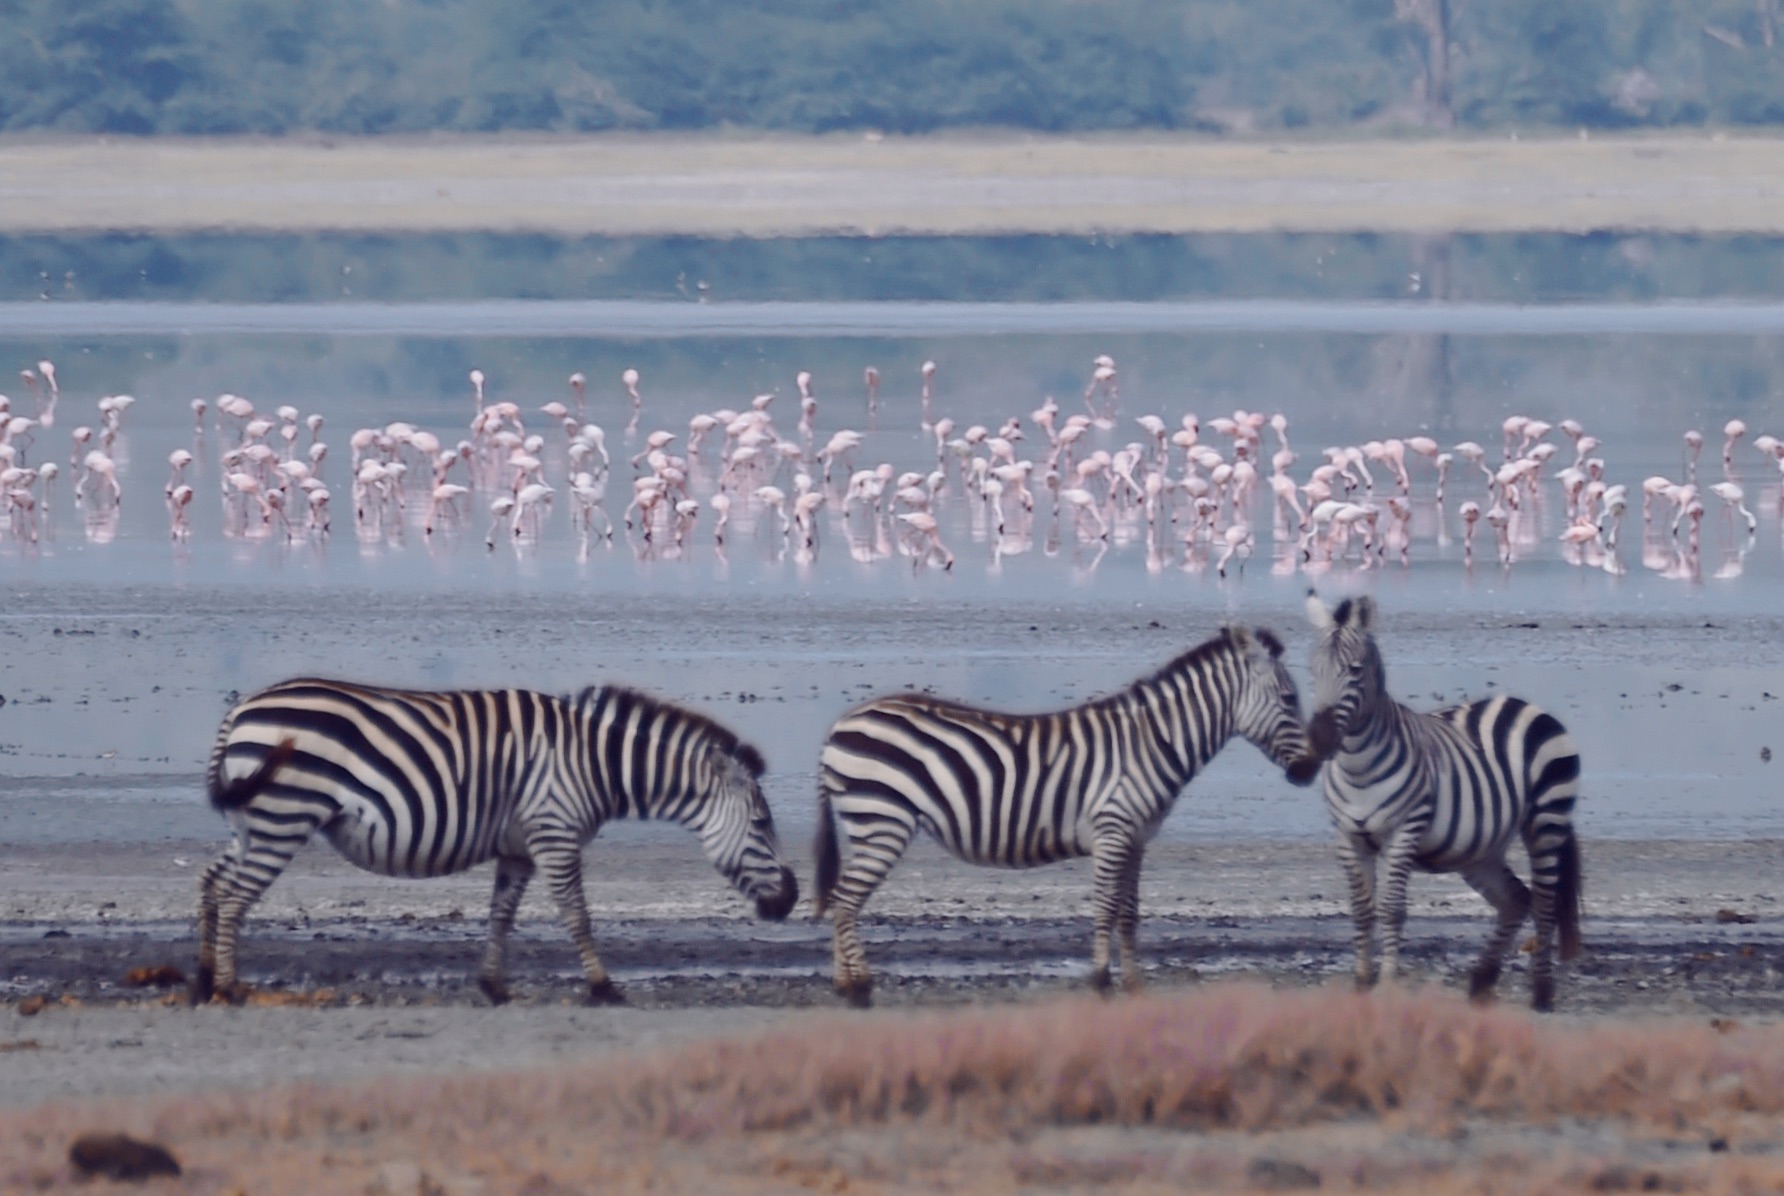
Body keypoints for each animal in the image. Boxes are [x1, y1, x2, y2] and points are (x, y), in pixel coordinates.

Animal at [193, 678, 795, 1006]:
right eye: (763, 823)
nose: (790, 899)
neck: (595, 765)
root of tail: (240, 710)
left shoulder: (519, 847)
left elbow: (501, 915)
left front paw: (493, 986)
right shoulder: (554, 833)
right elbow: (577, 914)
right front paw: (603, 987)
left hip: (252, 821)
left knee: (212, 882)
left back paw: (202, 979)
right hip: (284, 815)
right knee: (236, 897)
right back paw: (230, 987)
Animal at [813, 628, 1313, 1013]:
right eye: (1290, 699)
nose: (1309, 770)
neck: (1152, 742)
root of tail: (839, 725)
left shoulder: (1137, 838)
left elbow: (1130, 913)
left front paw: (1134, 985)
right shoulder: (1113, 830)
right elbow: (1105, 907)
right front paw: (1101, 983)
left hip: (872, 822)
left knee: (841, 900)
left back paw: (844, 985)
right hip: (883, 820)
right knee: (845, 901)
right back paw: (858, 989)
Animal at [1284, 596, 1591, 1013]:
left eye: (1355, 670)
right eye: (1313, 670)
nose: (1317, 743)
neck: (1357, 768)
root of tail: (1524, 705)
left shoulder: (1404, 831)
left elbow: (1391, 909)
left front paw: (1387, 986)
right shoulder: (1348, 837)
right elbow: (1362, 910)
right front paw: (1361, 984)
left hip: (1546, 818)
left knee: (1543, 902)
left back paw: (1542, 993)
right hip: (1480, 848)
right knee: (1515, 899)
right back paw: (1481, 980)